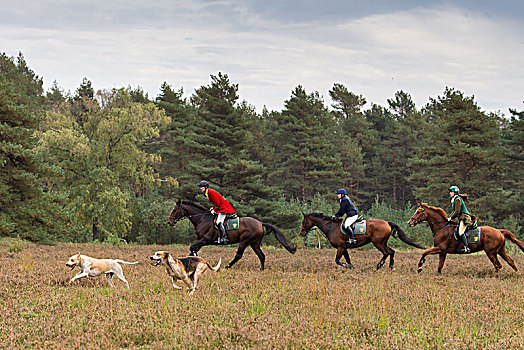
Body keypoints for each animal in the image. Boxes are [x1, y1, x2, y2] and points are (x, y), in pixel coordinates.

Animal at [298, 212, 426, 270]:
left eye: (304, 222)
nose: (301, 233)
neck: (331, 226)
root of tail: (387, 223)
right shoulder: (344, 247)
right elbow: (348, 259)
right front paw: (351, 266)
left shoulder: (340, 247)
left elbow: (338, 260)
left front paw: (346, 266)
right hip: (383, 242)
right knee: (391, 251)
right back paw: (390, 266)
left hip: (377, 243)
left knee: (386, 253)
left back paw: (379, 265)